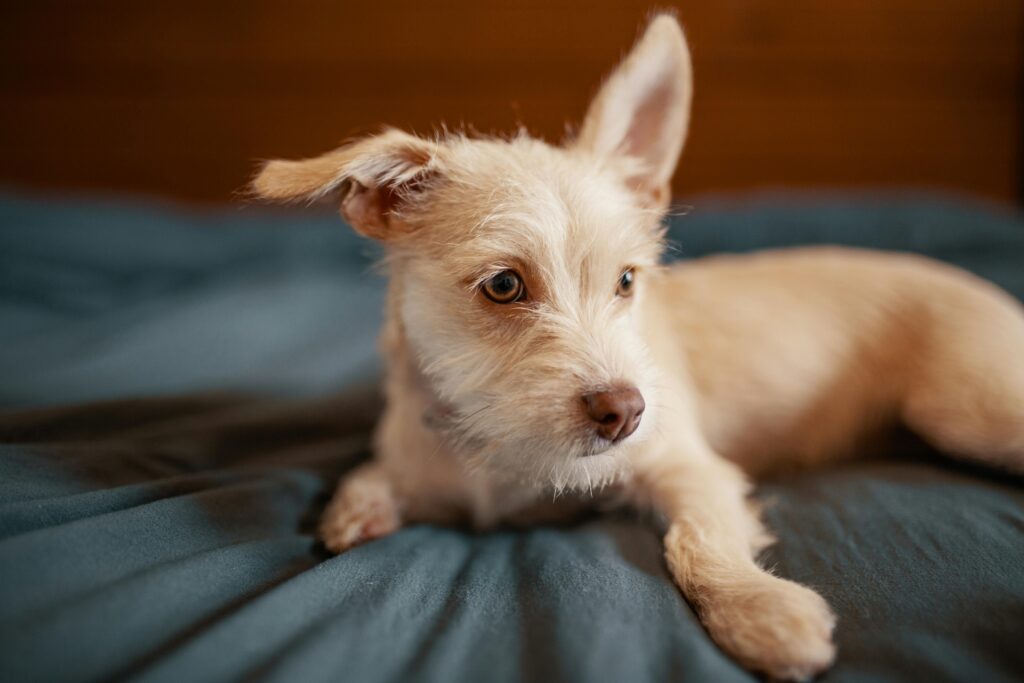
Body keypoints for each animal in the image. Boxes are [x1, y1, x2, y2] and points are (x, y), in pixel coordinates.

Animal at [249, 13, 1024, 679]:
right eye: (503, 285)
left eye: (627, 280)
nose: (625, 411)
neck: (496, 450)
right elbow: (371, 477)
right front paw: (356, 508)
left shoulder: (692, 469)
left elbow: (696, 541)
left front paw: (761, 612)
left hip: (967, 409)